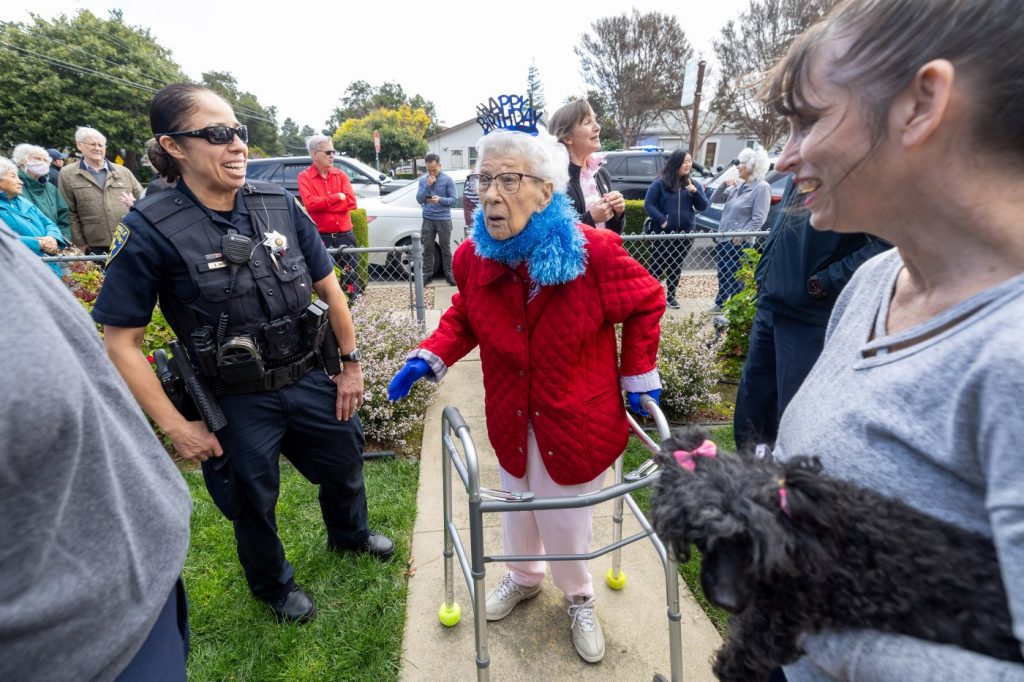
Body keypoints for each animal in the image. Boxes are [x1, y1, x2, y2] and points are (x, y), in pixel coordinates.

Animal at [651, 428, 1019, 675]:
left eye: (759, 547)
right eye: (705, 536)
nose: (726, 601)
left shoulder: (796, 605)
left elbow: (760, 634)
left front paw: (731, 665)